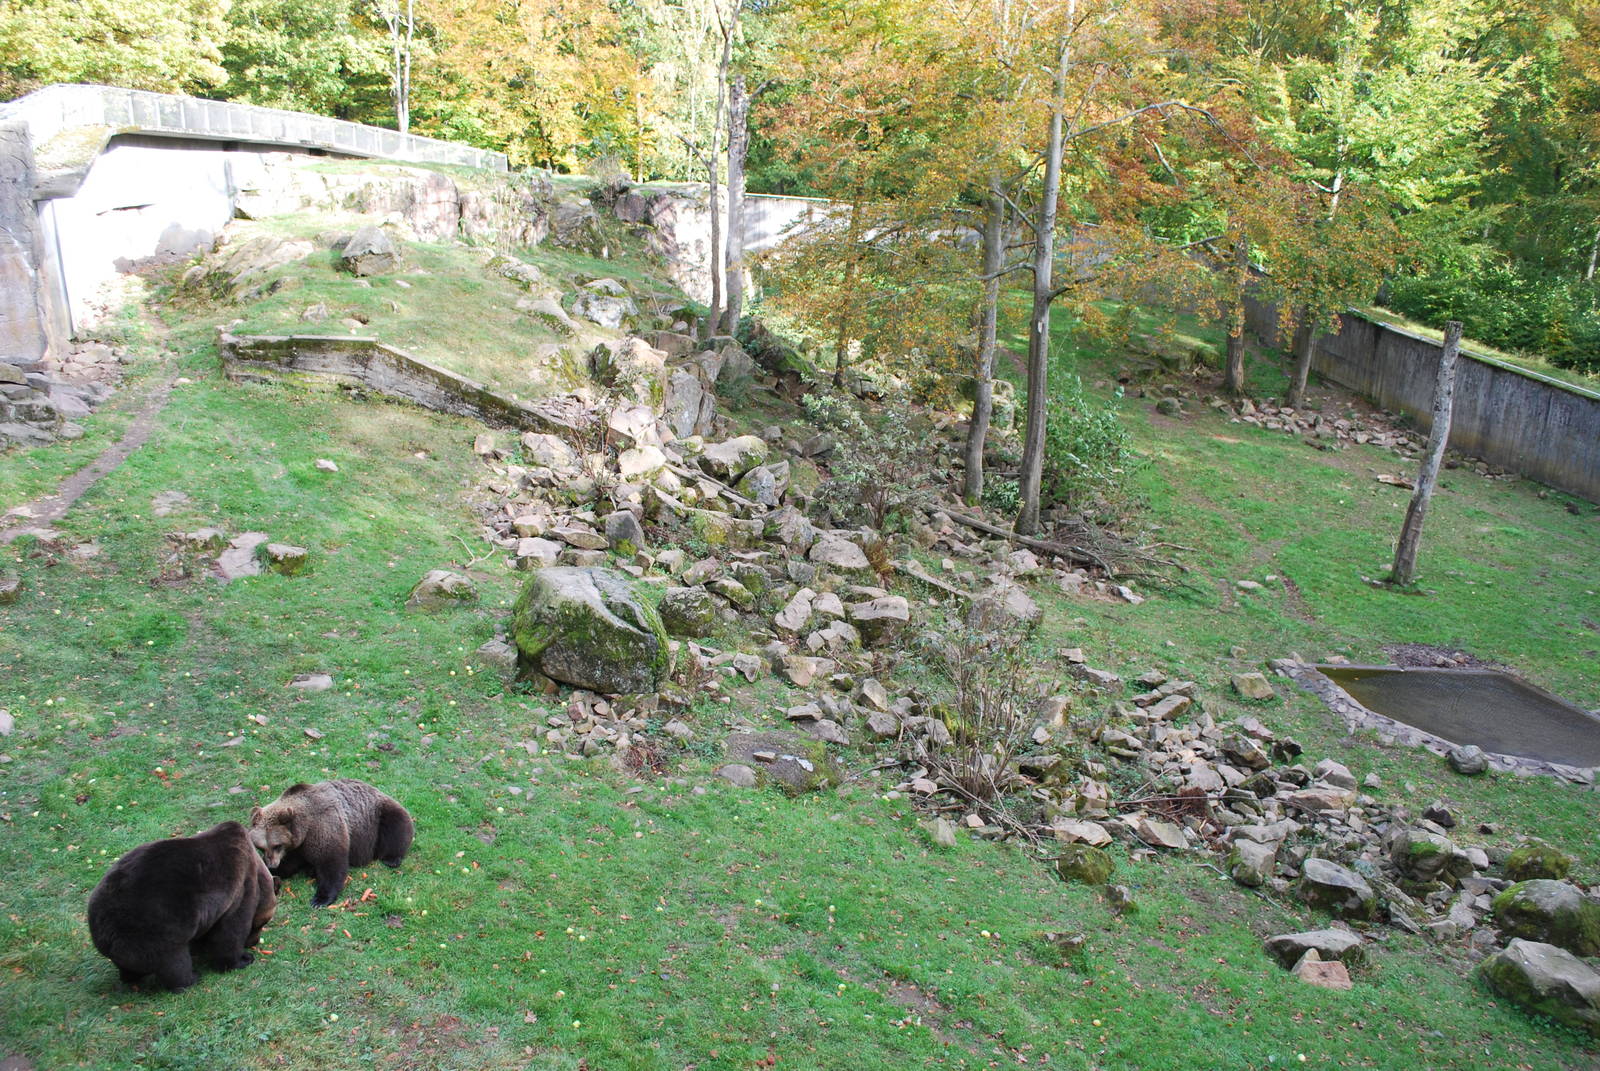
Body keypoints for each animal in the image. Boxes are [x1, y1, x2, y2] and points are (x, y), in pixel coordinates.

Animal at [87, 820, 276, 992]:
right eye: (262, 924)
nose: (254, 942)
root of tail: (105, 933)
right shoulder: (240, 886)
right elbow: (231, 928)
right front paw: (241, 959)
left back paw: (128, 977)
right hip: (153, 928)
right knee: (174, 962)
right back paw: (191, 978)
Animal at [249, 779, 414, 907]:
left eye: (276, 845)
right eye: (261, 847)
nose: (272, 864)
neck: (305, 827)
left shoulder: (324, 826)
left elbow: (331, 863)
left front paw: (320, 899)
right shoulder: (298, 846)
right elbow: (290, 863)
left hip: (378, 816)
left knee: (396, 825)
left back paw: (392, 858)